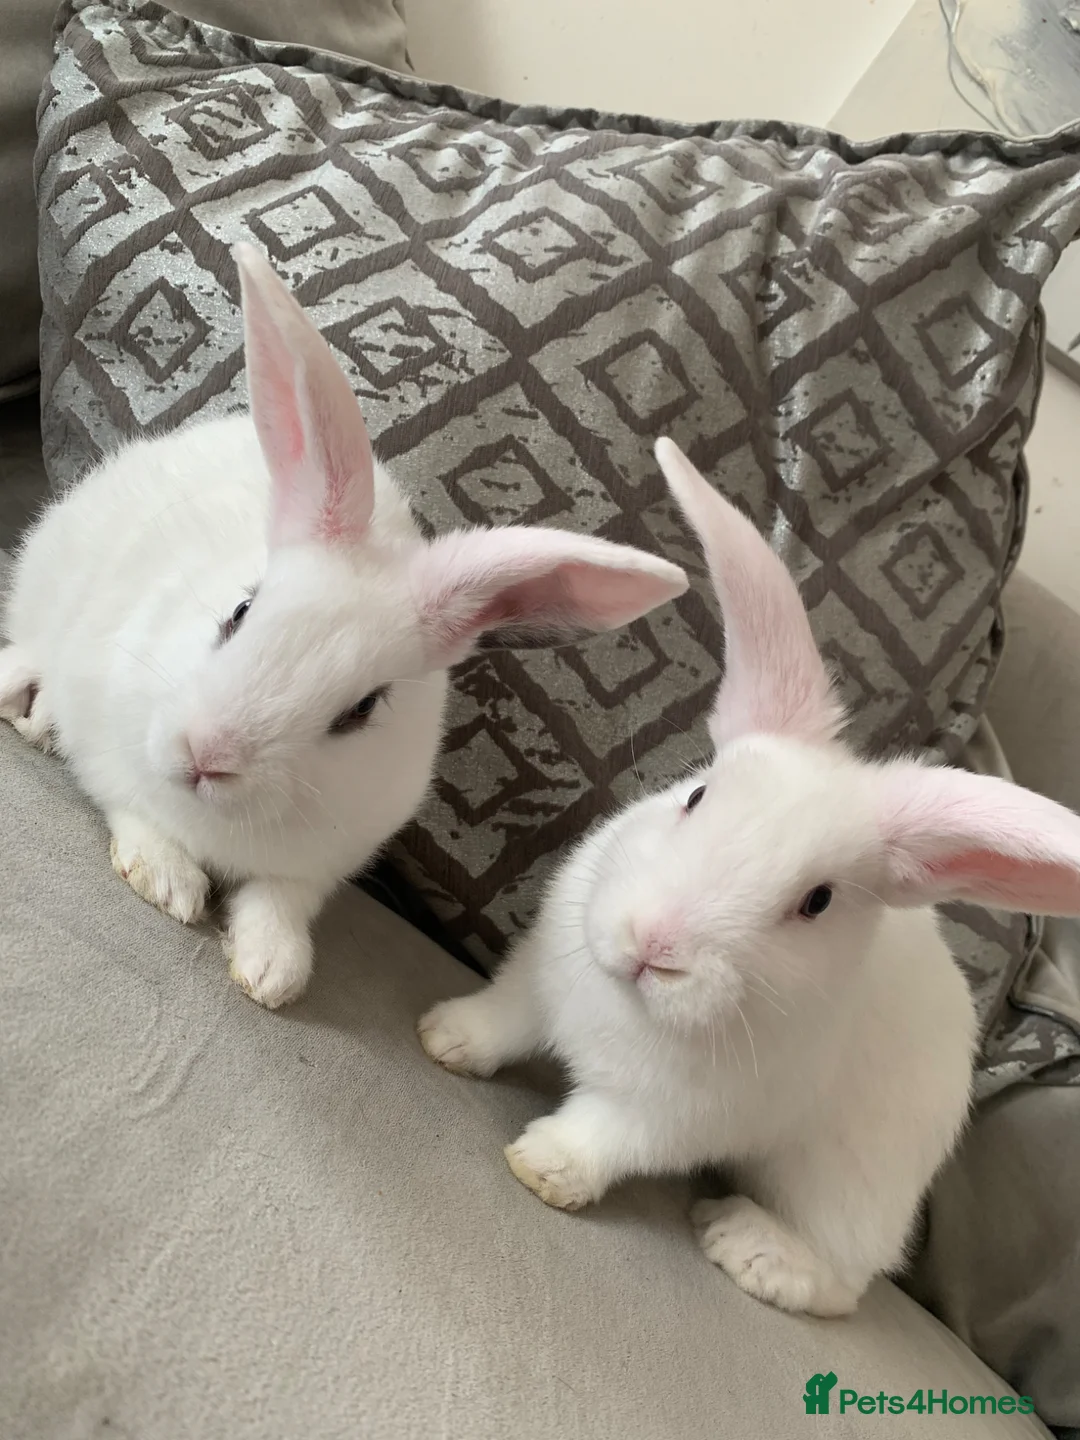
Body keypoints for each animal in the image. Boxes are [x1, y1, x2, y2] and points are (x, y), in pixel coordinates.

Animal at [0, 245, 688, 1010]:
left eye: (362, 709)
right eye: (240, 612)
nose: (207, 754)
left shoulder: (322, 862)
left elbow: (281, 900)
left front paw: (272, 971)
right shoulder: (106, 747)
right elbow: (129, 805)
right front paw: (169, 884)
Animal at [418, 436, 1080, 1317]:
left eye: (817, 902)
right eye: (697, 795)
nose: (654, 945)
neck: (629, 1005)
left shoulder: (666, 1117)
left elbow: (601, 1137)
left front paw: (542, 1169)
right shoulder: (535, 980)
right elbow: (499, 1019)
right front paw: (445, 1038)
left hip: (844, 1189)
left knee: (840, 1282)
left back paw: (745, 1245)